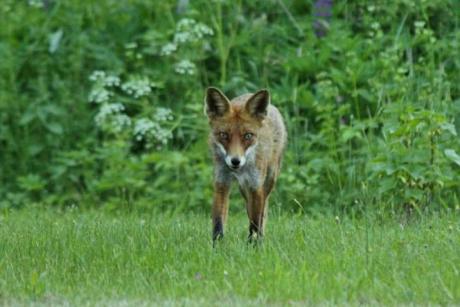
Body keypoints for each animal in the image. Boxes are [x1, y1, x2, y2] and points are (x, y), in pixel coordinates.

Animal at [204, 88, 286, 244]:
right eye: (223, 135)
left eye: (248, 136)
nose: (235, 161)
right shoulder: (221, 183)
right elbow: (218, 221)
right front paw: (217, 246)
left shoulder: (256, 186)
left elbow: (256, 222)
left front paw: (254, 245)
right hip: (244, 188)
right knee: (249, 209)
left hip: (269, 180)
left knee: (262, 212)